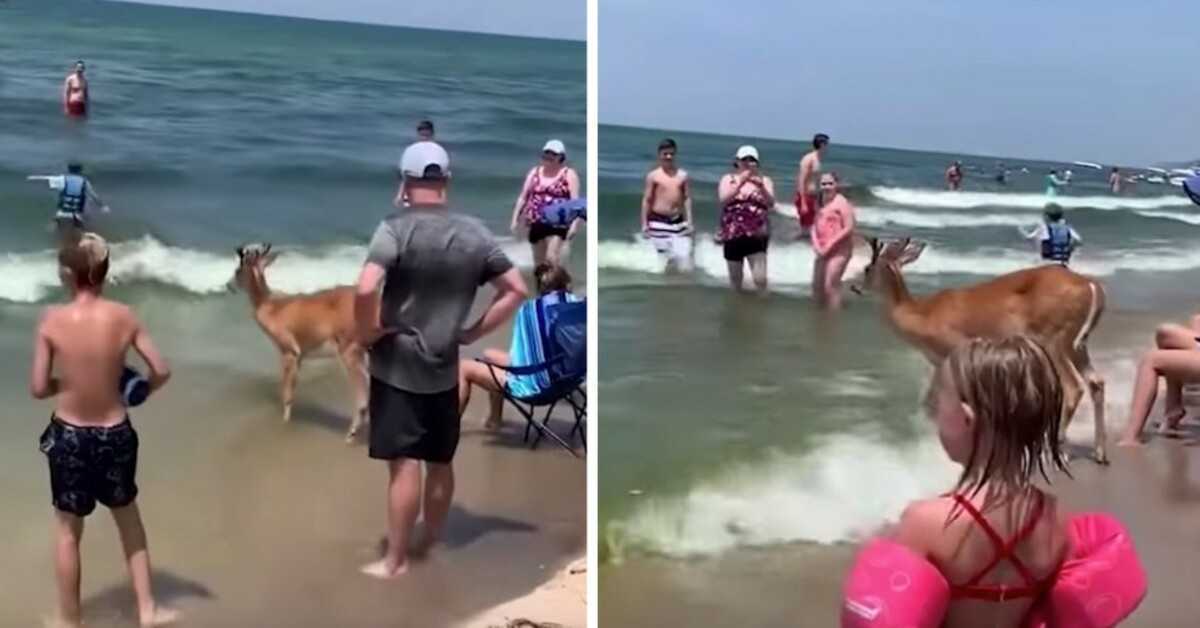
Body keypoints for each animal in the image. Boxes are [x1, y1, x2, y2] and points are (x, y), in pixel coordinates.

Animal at [228, 243, 367, 444]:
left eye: (238, 270)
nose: (228, 285)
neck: (272, 308)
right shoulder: (300, 356)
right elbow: (292, 391)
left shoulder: (289, 351)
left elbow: (286, 392)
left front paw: (284, 423)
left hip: (350, 349)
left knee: (362, 392)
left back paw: (350, 435)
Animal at [864, 238, 1104, 463]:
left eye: (868, 268)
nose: (859, 286)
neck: (922, 316)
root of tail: (1091, 285)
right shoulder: (940, 362)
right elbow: (932, 401)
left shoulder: (954, 347)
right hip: (1077, 344)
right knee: (1096, 382)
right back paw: (1099, 453)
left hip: (1054, 338)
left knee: (1073, 387)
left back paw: (1058, 451)